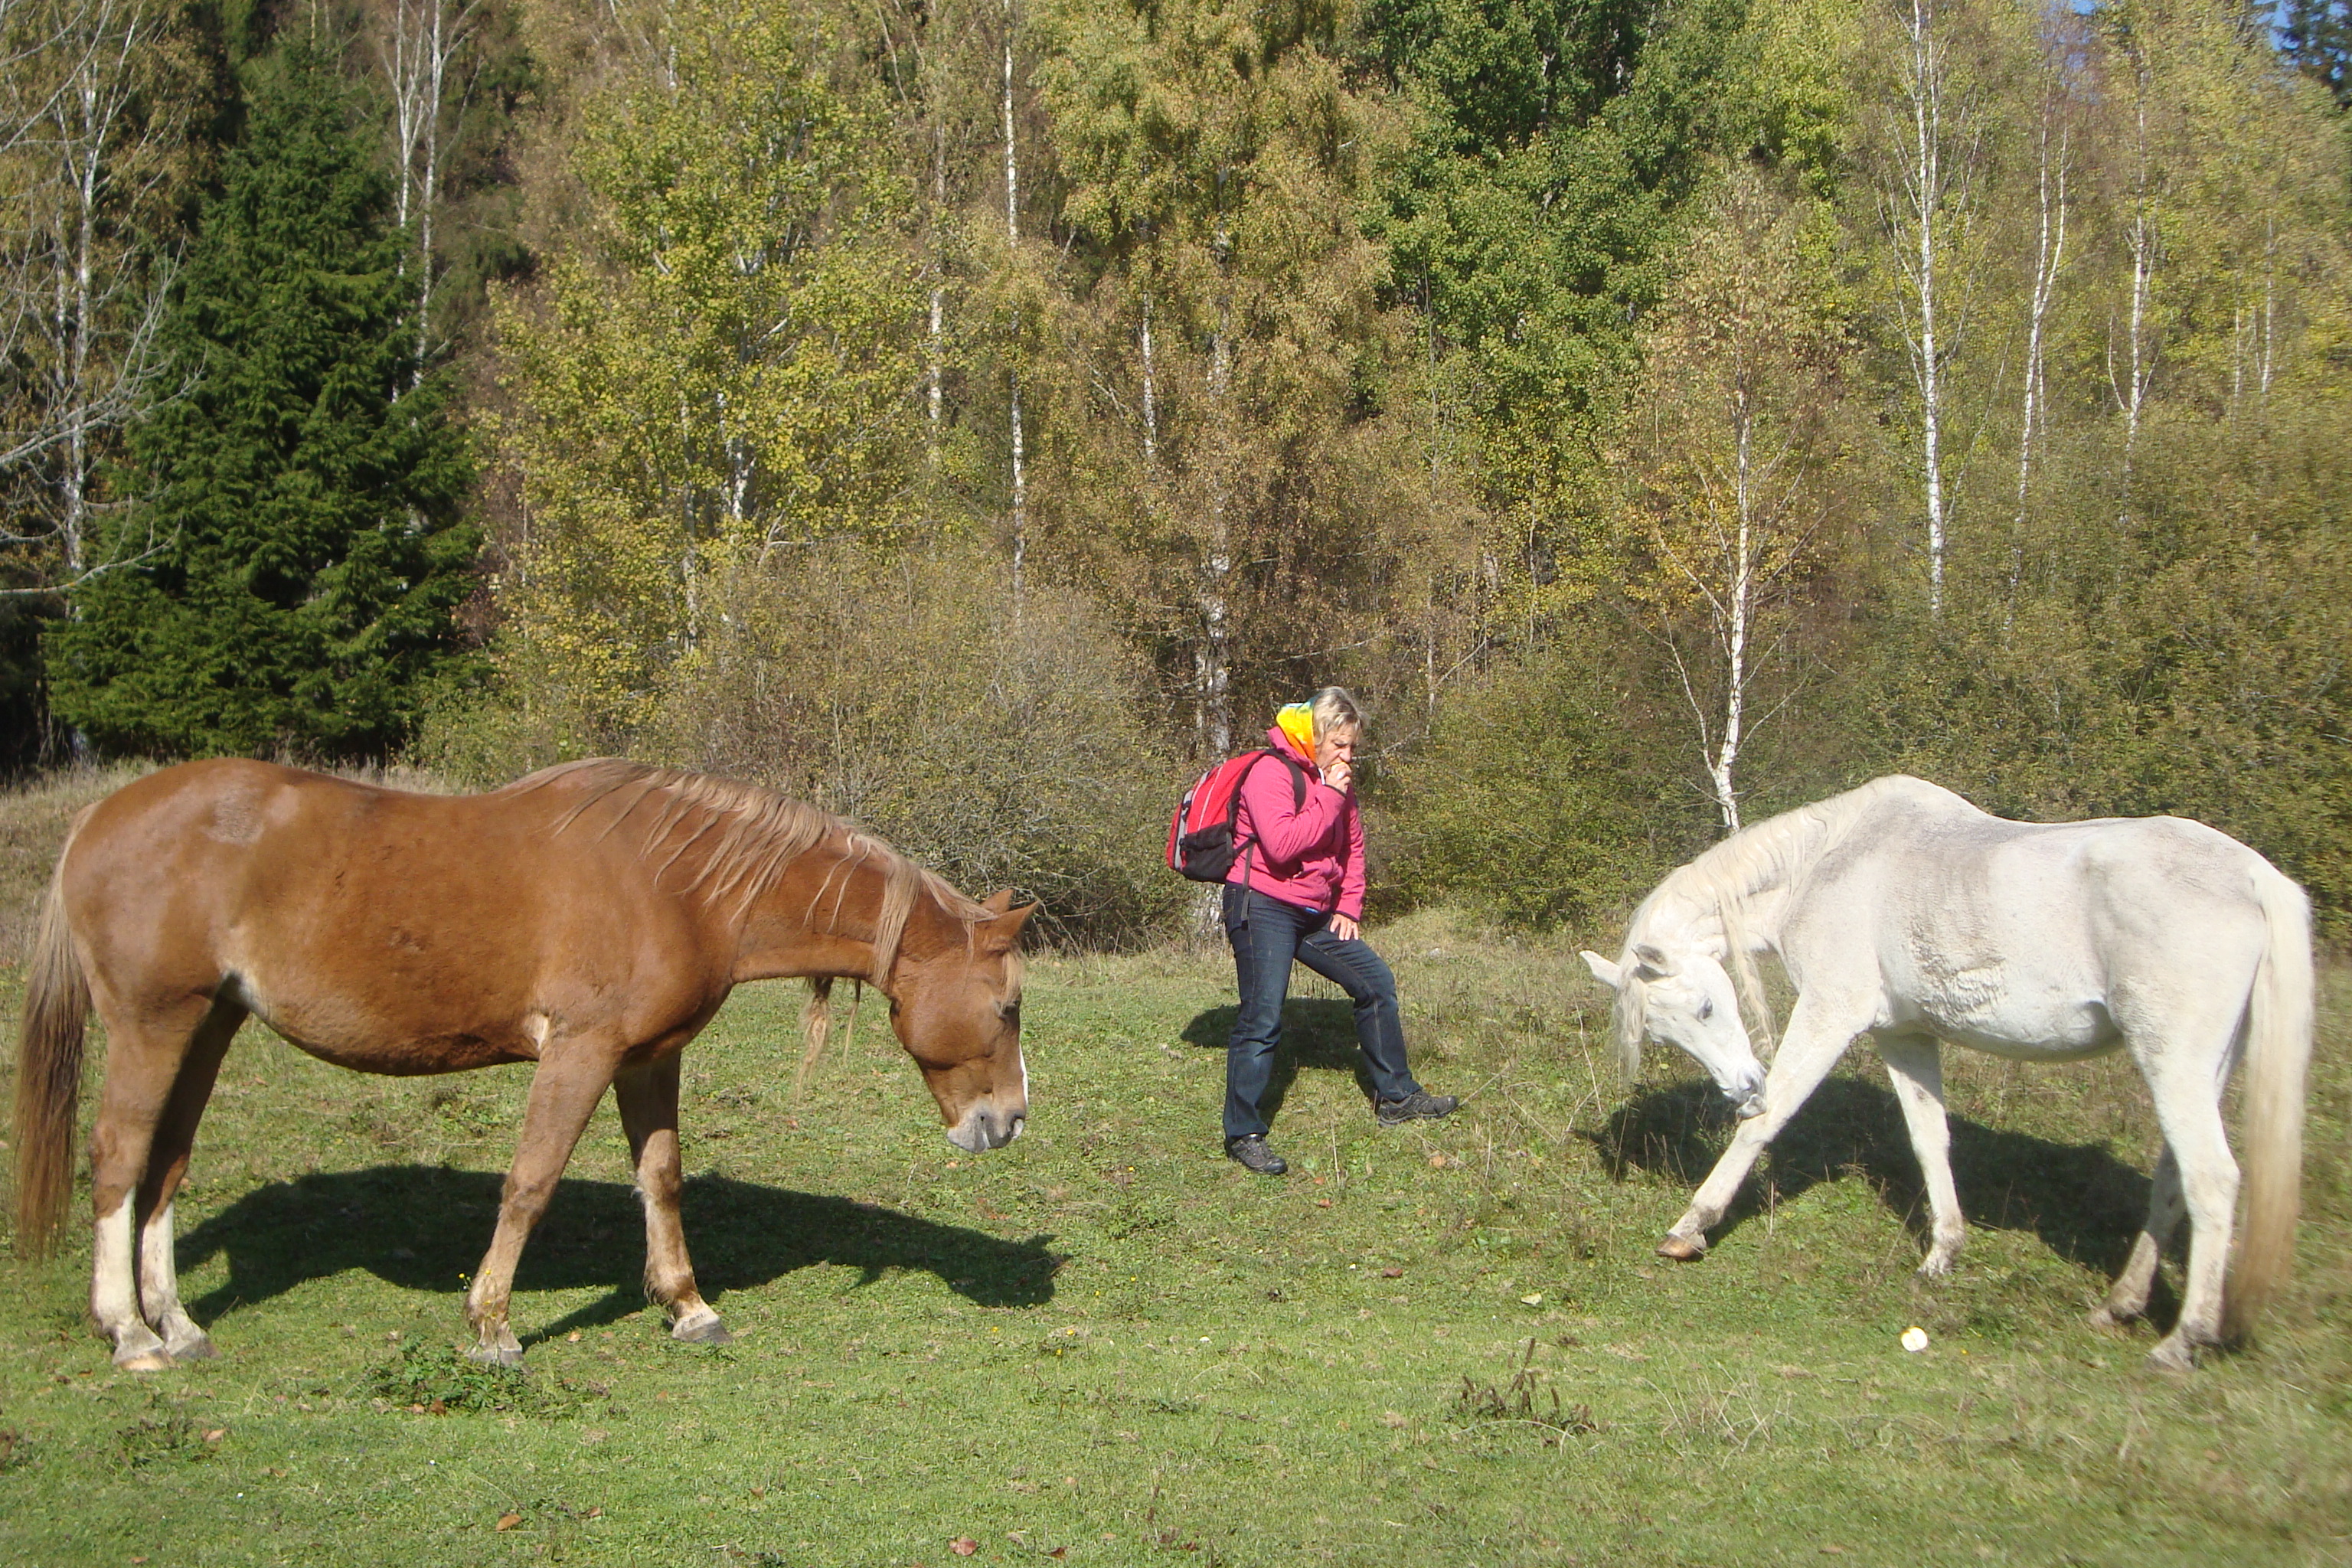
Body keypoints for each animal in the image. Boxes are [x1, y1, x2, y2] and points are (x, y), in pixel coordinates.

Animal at [12, 757, 1034, 1371]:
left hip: (209, 1025)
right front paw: (492, 1322)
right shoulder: (579, 1052)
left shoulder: (645, 1059)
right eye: (1008, 1005)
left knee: (166, 1164)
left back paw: (177, 1322)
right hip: (154, 1024)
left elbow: (661, 1178)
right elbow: (531, 1182)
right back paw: (129, 1331)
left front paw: (687, 1304)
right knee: (119, 1158)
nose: (1010, 1119)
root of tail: (98, 818)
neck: (680, 882)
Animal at [1578, 775, 2312, 1370]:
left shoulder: (1831, 1013)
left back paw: (2182, 1341)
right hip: (2199, 1069)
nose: (1742, 1087)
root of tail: (2254, 877)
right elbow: (1930, 1140)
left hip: (2174, 1061)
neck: (1826, 864)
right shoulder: (1904, 1035)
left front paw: (1690, 1228)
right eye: (1667, 1031)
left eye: (1706, 1005)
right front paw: (1942, 1256)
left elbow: (1769, 1123)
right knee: (2175, 1178)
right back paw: (2121, 1304)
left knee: (2212, 1180)